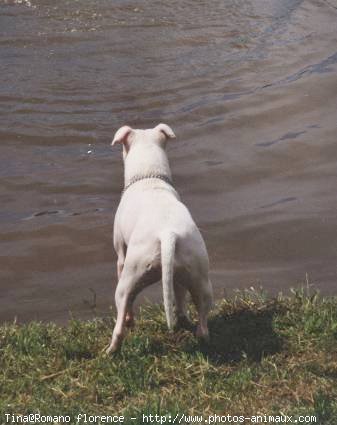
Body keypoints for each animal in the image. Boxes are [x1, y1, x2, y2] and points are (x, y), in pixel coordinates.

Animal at [107, 121, 213, 352]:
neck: (149, 177)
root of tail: (168, 234)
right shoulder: (177, 276)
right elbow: (179, 296)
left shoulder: (121, 255)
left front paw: (129, 320)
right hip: (198, 276)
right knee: (200, 317)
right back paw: (197, 332)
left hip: (129, 279)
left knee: (121, 317)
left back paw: (111, 349)